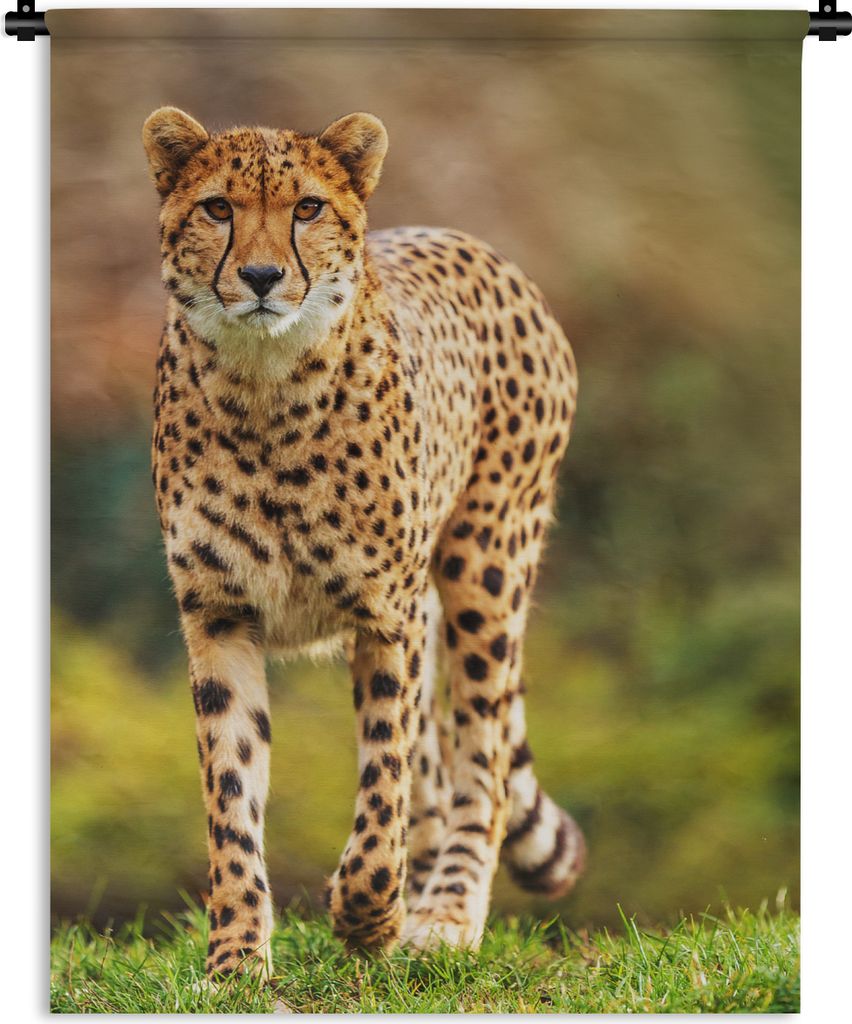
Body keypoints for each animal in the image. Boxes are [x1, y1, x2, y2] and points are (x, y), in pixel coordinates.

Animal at [143, 106, 585, 979]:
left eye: (308, 209)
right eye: (218, 209)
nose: (261, 277)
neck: (265, 387)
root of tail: (477, 246)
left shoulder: (387, 613)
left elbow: (384, 780)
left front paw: (366, 915)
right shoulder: (219, 615)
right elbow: (231, 793)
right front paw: (236, 956)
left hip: (485, 565)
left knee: (478, 764)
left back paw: (443, 915)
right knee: (440, 770)